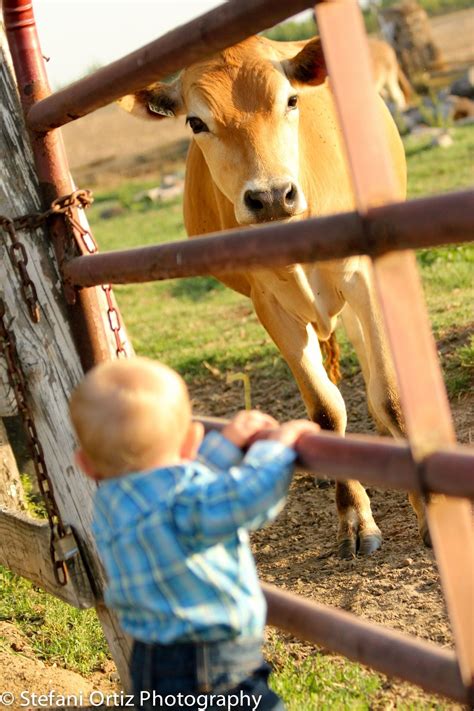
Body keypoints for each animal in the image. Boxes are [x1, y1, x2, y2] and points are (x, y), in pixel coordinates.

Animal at [118, 36, 430, 560]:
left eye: (291, 100)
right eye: (196, 122)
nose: (269, 196)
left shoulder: (363, 277)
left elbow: (392, 396)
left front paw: (432, 512)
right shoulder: (271, 305)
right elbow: (325, 410)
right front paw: (354, 517)